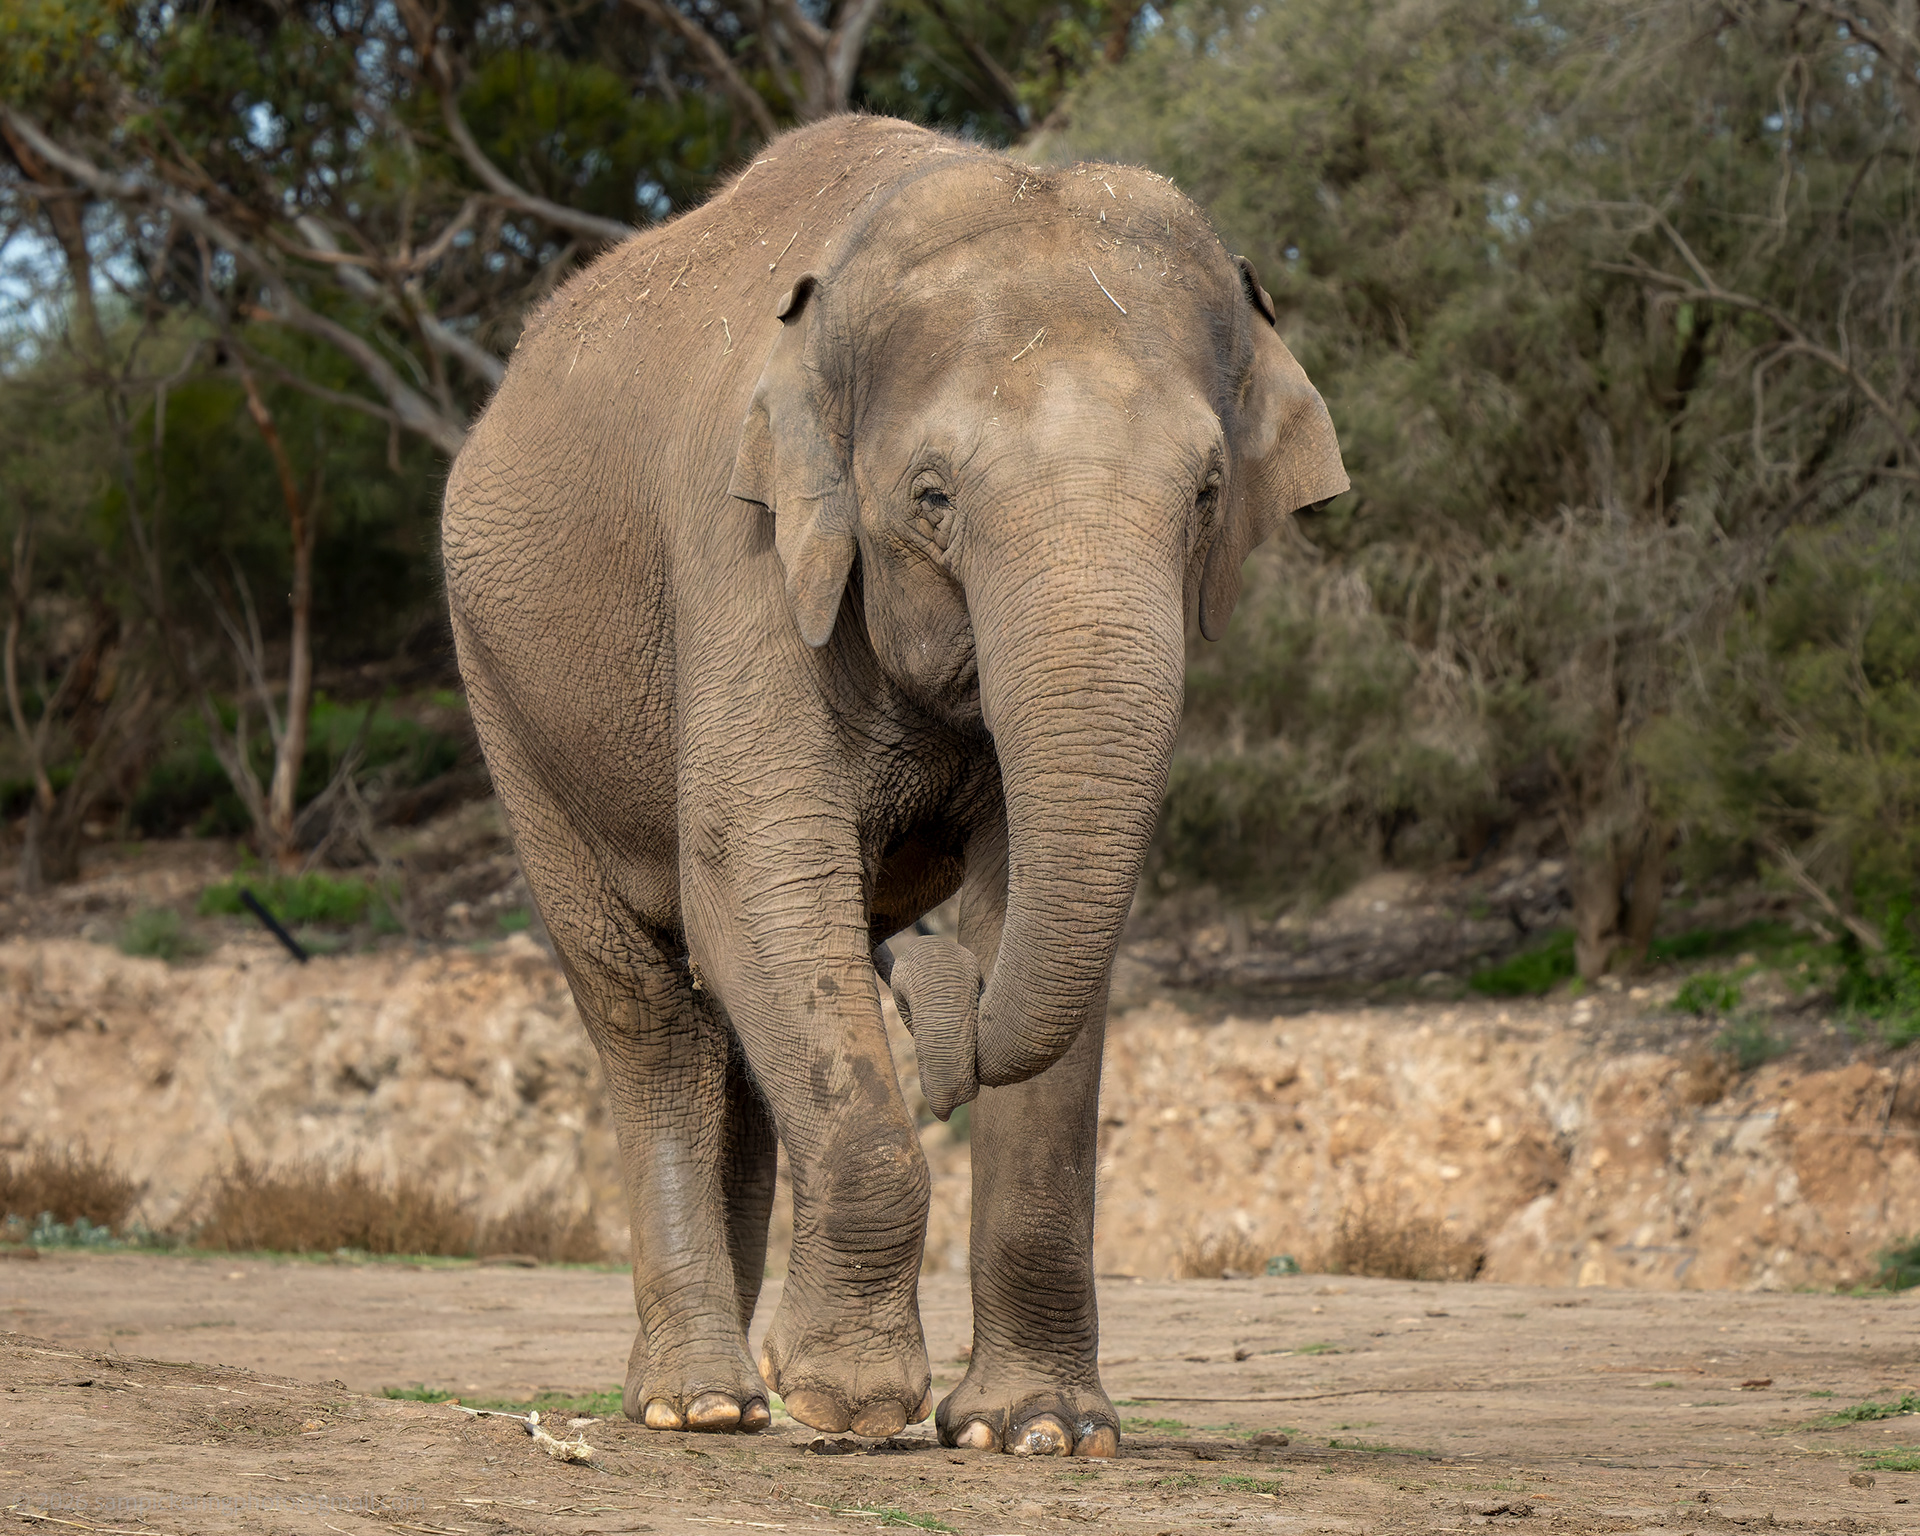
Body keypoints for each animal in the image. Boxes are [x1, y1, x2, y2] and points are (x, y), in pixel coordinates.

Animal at [442, 114, 1346, 1458]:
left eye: (1205, 496)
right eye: (932, 498)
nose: (923, 979)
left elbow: (1034, 920)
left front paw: (1037, 1434)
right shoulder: (745, 553)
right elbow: (757, 880)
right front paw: (849, 1404)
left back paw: (730, 1396)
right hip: (508, 699)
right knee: (648, 1004)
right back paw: (700, 1405)